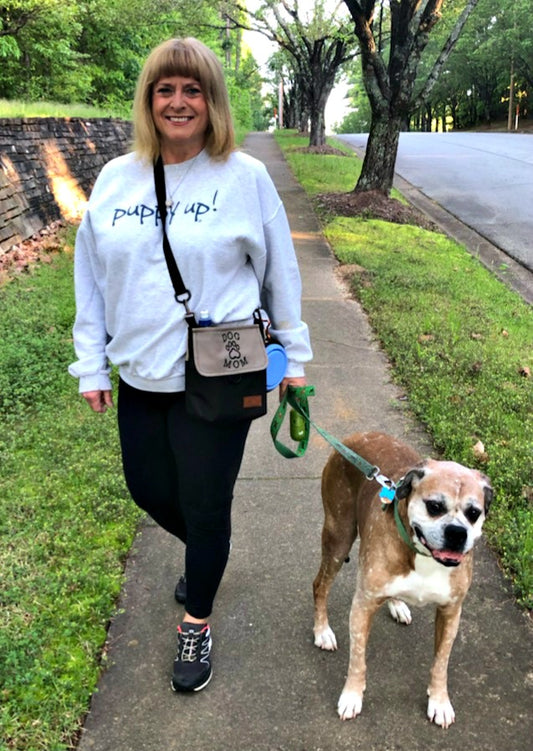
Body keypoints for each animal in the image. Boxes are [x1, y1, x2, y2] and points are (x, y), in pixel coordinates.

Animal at [314, 434, 492, 728]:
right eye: (435, 506)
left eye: (474, 513)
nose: (457, 532)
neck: (421, 553)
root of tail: (354, 437)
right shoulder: (363, 606)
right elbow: (358, 660)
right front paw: (352, 695)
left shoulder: (451, 612)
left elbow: (441, 663)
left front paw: (439, 701)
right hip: (338, 540)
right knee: (319, 585)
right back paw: (322, 631)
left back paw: (397, 604)